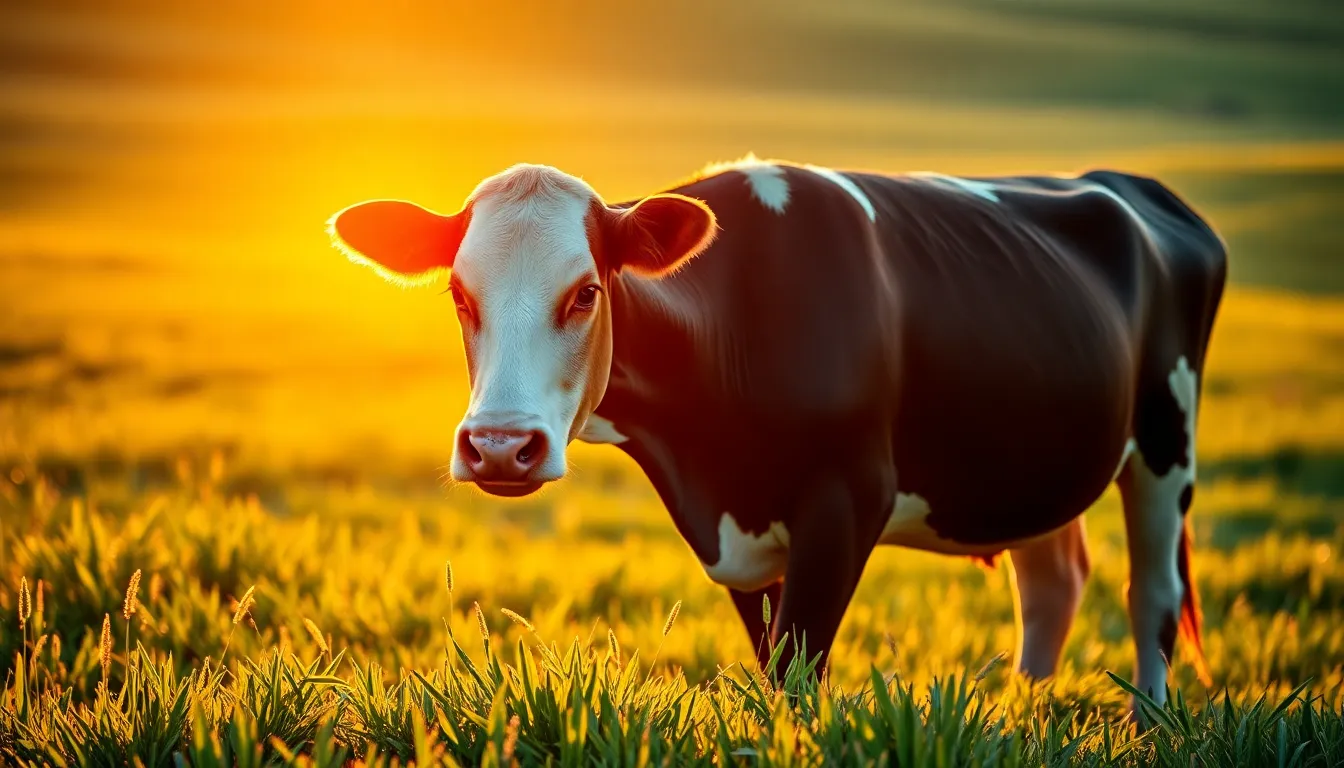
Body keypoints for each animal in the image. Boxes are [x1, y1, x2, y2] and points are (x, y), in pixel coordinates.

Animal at [327, 156, 1225, 717]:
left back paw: (1146, 724)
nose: (500, 447)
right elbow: (773, 667)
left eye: (585, 292)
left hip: (1165, 444)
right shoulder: (740, 536)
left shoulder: (847, 503)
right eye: (459, 294)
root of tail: (1124, 186)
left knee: (1151, 595)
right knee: (1051, 583)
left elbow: (798, 675)